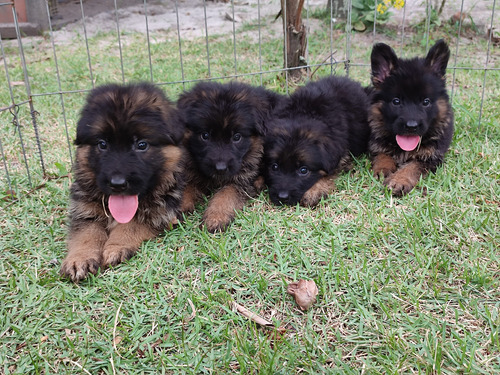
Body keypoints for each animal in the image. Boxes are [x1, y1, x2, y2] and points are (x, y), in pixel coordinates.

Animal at [60, 82, 186, 282]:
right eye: (102, 144)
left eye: (142, 145)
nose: (117, 184)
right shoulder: (85, 210)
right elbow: (86, 233)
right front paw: (79, 259)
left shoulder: (160, 211)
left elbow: (132, 225)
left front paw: (115, 247)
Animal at [177, 81, 282, 234]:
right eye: (205, 135)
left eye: (237, 137)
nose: (220, 168)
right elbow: (185, 188)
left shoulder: (242, 177)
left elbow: (226, 195)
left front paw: (215, 217)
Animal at [266, 75, 372, 207]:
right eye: (274, 167)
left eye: (303, 170)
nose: (282, 197)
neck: (305, 113)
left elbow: (329, 174)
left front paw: (313, 192)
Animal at [368, 39, 454, 197]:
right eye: (396, 101)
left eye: (426, 102)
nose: (411, 126)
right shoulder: (377, 145)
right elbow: (382, 155)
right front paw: (383, 169)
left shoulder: (430, 158)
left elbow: (412, 167)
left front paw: (399, 180)